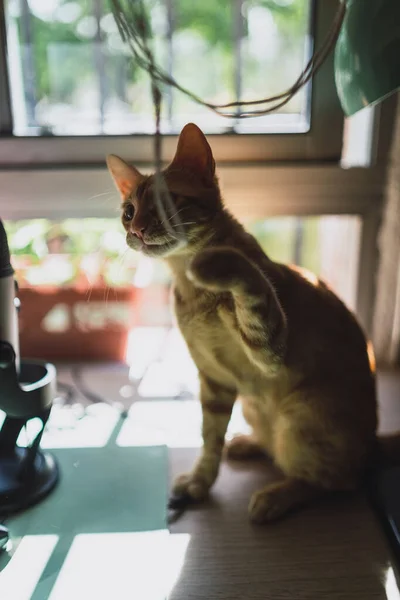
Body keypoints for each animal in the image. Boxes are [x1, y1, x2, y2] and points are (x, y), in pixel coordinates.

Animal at [106, 124, 396, 524]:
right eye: (128, 211)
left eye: (165, 203)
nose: (135, 230)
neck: (189, 290)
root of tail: (373, 444)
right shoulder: (214, 382)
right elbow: (209, 439)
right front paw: (200, 482)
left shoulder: (272, 350)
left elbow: (249, 279)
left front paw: (217, 269)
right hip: (253, 406)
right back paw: (249, 444)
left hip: (300, 420)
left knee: (333, 481)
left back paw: (277, 496)